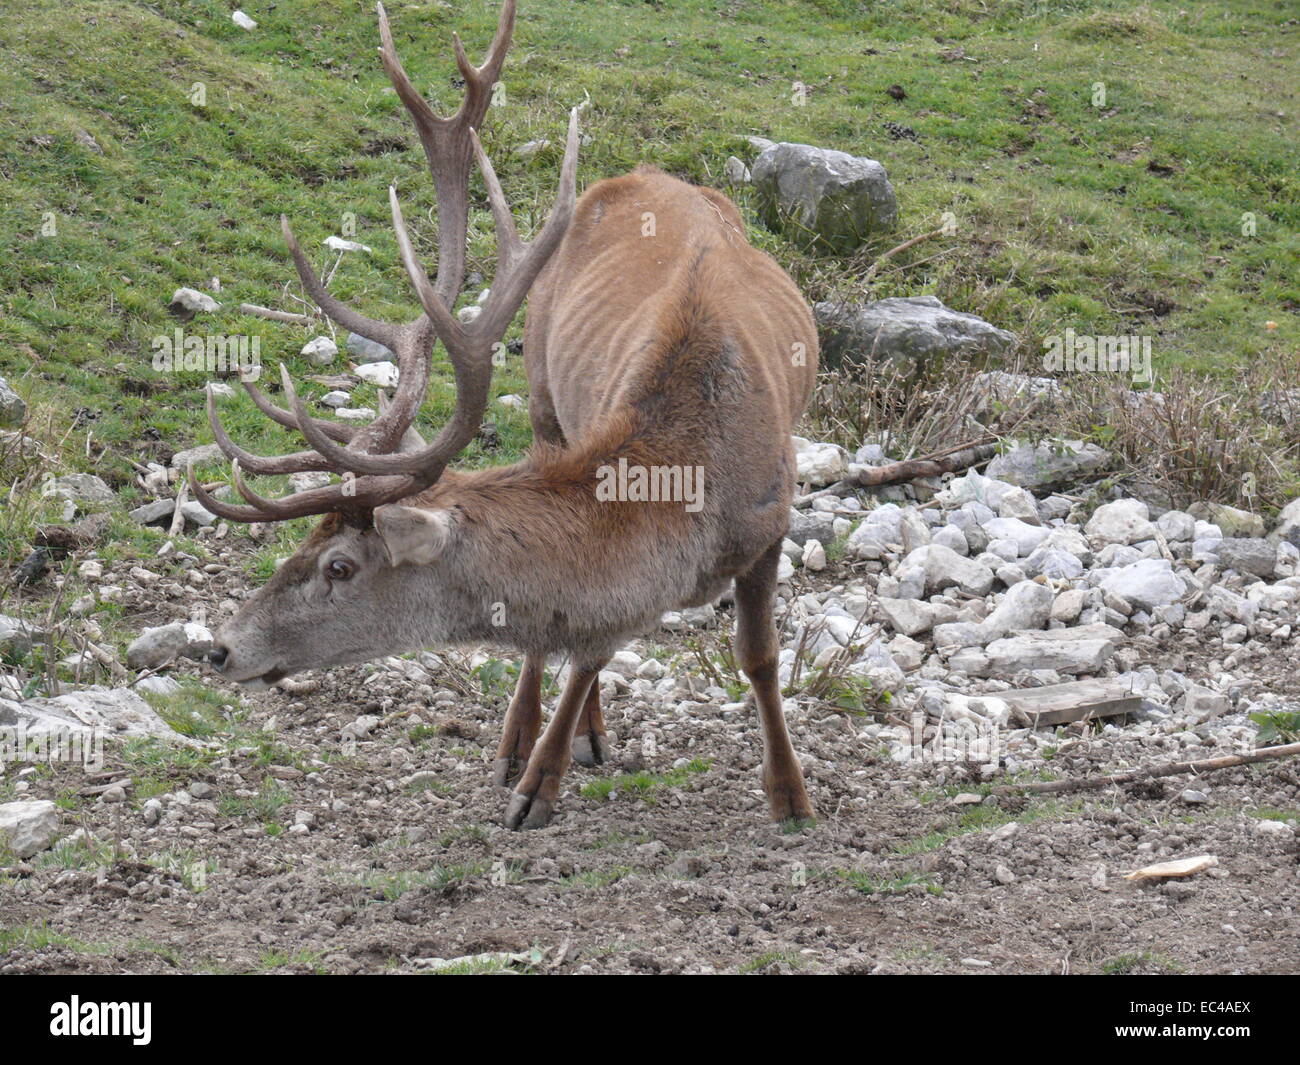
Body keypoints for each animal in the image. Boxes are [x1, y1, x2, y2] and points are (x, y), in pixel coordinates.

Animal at [193, 0, 819, 830]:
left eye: (340, 565)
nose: (221, 647)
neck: (691, 490)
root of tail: (647, 173)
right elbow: (588, 649)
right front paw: (538, 779)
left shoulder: (773, 516)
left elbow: (758, 655)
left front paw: (790, 791)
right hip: (547, 392)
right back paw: (527, 739)